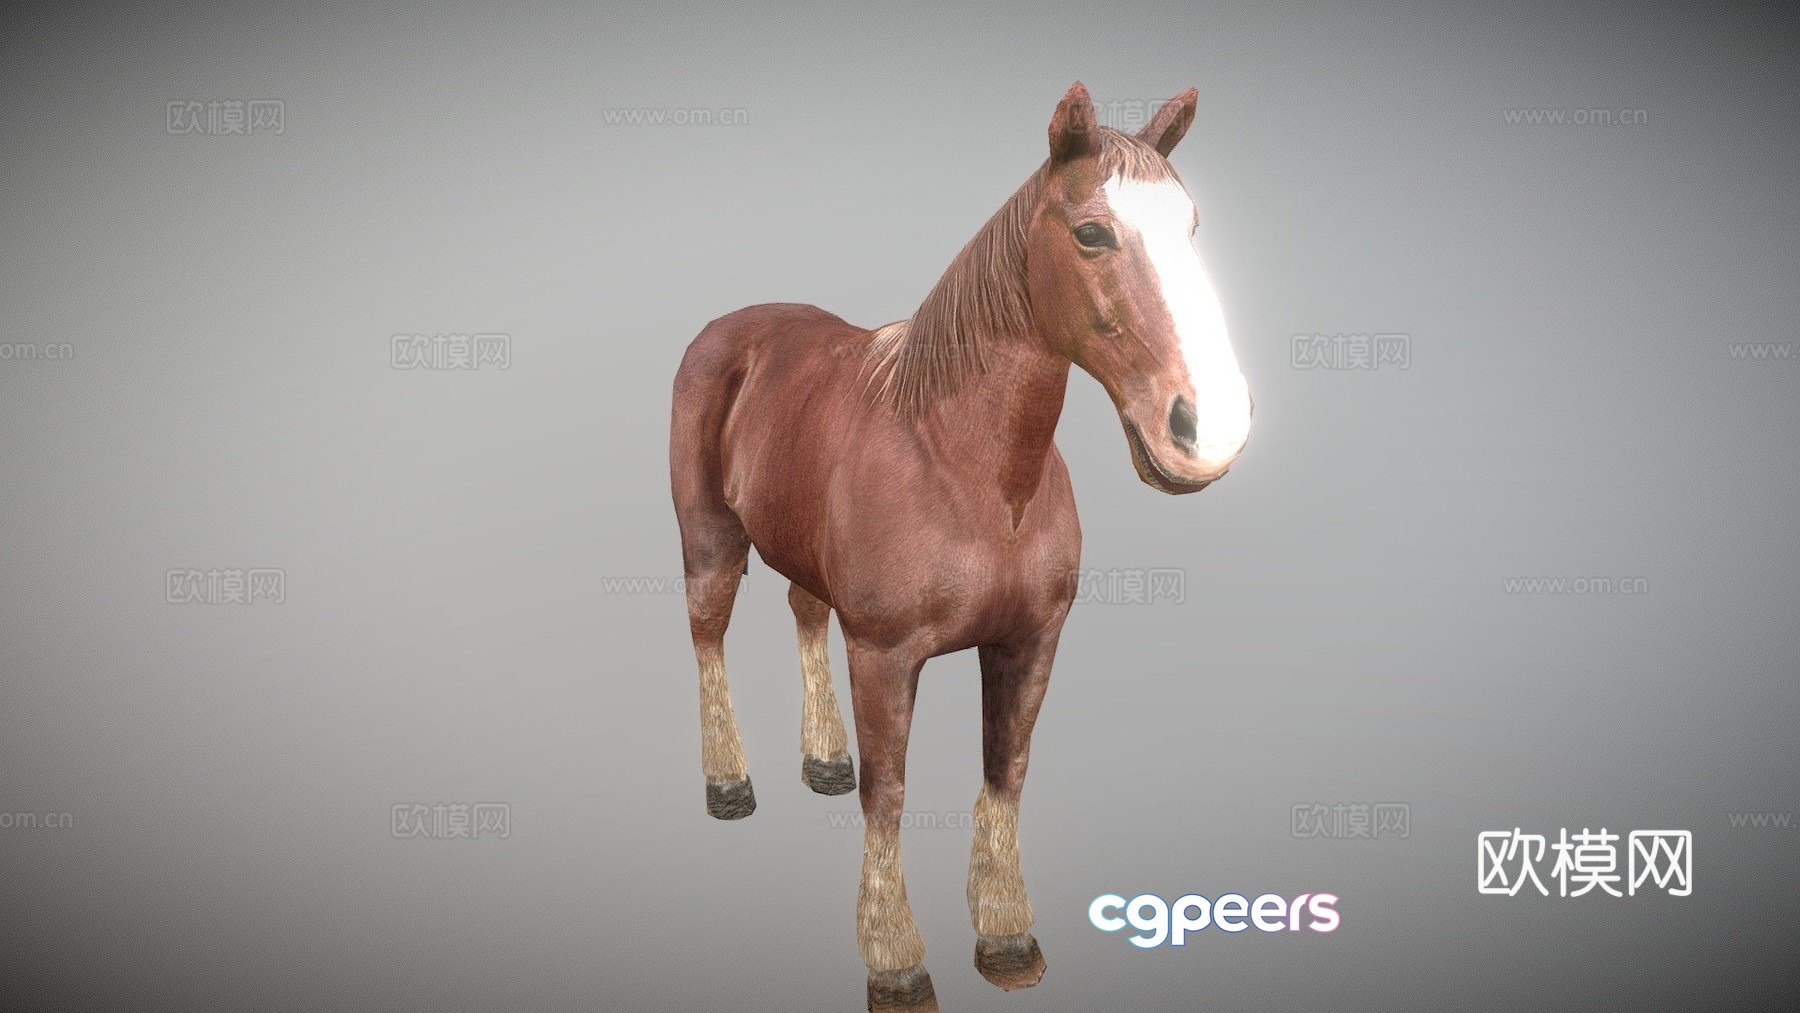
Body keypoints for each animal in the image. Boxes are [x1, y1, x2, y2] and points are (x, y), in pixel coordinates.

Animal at [669, 82, 1252, 1011]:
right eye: (1091, 232)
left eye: (1191, 226)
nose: (1211, 427)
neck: (967, 466)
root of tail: (733, 326)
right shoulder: (883, 655)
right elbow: (891, 794)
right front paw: (895, 958)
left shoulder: (1029, 642)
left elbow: (1004, 770)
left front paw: (1007, 935)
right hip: (710, 541)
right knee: (706, 637)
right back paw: (729, 782)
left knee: (803, 613)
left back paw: (822, 759)